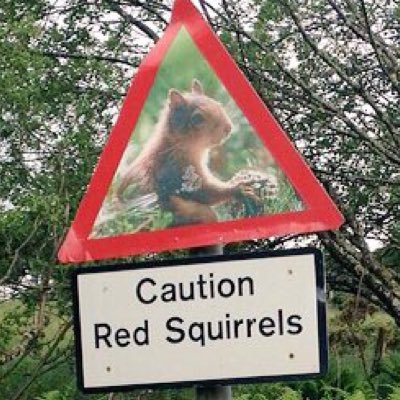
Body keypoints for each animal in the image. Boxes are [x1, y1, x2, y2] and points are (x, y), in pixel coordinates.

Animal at [115, 79, 260, 227]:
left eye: (218, 104)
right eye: (197, 119)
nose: (228, 128)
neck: (177, 145)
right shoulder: (179, 172)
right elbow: (206, 192)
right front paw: (239, 189)